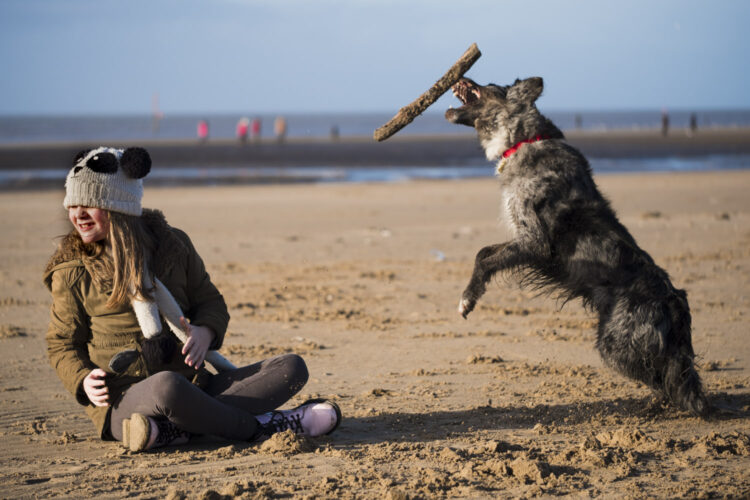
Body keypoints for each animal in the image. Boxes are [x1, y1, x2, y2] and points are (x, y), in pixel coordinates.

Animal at [446, 76, 712, 416]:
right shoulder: (523, 241)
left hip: (616, 344)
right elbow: (485, 252)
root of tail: (673, 299)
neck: (524, 140)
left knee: (667, 379)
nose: (460, 77)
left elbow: (484, 258)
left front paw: (467, 299)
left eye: (491, 84)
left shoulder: (535, 241)